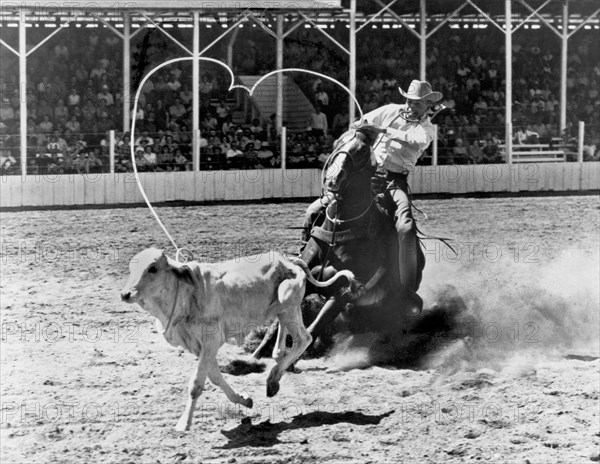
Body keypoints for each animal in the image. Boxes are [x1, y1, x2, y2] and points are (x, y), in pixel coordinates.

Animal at [122, 246, 356, 432]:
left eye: (153, 268)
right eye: (131, 269)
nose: (125, 294)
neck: (185, 294)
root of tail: (288, 260)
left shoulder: (210, 342)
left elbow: (197, 383)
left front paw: (184, 423)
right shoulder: (200, 348)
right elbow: (215, 377)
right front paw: (244, 400)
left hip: (288, 304)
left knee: (303, 339)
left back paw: (273, 377)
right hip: (285, 309)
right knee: (283, 336)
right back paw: (276, 366)